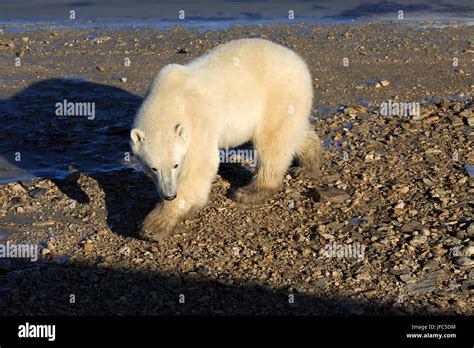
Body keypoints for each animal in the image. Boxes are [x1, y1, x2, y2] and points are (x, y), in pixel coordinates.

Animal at [131, 36, 322, 241]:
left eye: (176, 164)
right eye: (153, 168)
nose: (169, 195)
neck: (167, 98)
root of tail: (298, 61)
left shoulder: (198, 122)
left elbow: (199, 166)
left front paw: (155, 225)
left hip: (278, 95)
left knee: (272, 142)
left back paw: (252, 191)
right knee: (293, 133)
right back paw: (307, 166)